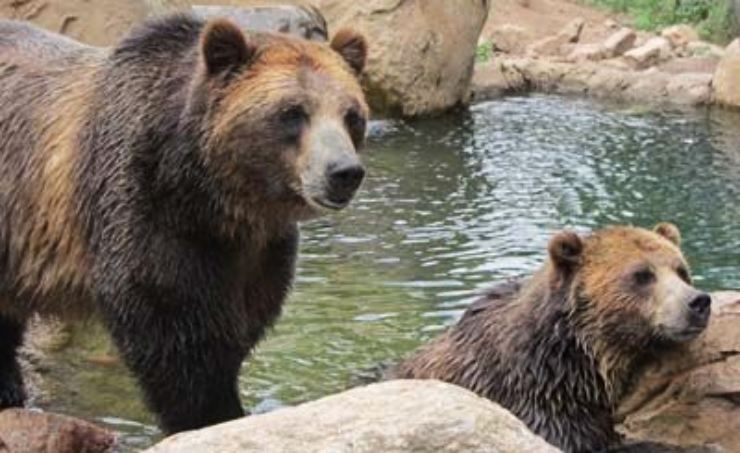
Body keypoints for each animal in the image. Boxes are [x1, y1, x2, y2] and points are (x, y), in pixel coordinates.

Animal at [0, 12, 368, 432]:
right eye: (293, 112)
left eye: (352, 115)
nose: (344, 171)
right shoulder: (144, 210)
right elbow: (172, 329)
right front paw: (208, 415)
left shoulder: (257, 250)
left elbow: (239, 325)